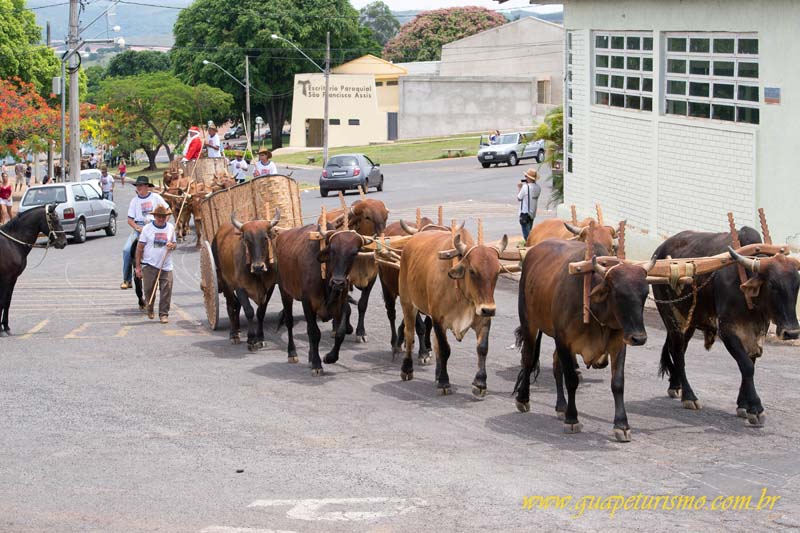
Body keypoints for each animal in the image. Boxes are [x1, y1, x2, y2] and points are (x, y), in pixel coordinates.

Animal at [0, 205, 67, 334]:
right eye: (55, 220)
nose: (64, 242)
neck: (12, 243)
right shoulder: (5, 279)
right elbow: (2, 301)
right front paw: (1, 329)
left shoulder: (13, 279)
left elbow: (7, 301)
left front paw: (6, 326)